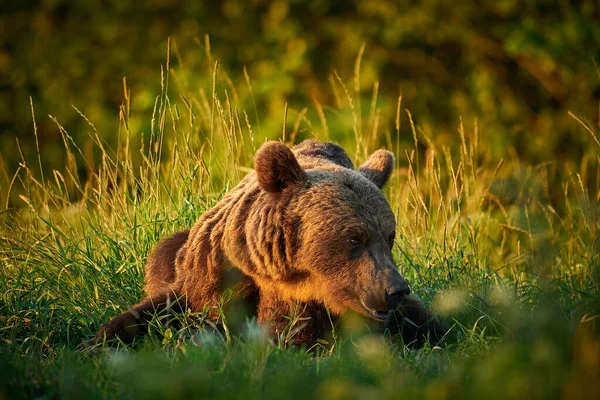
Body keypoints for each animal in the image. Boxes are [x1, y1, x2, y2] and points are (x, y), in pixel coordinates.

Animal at [97, 140, 446, 346]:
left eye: (390, 237)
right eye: (354, 237)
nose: (395, 289)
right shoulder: (210, 279)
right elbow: (157, 311)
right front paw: (100, 342)